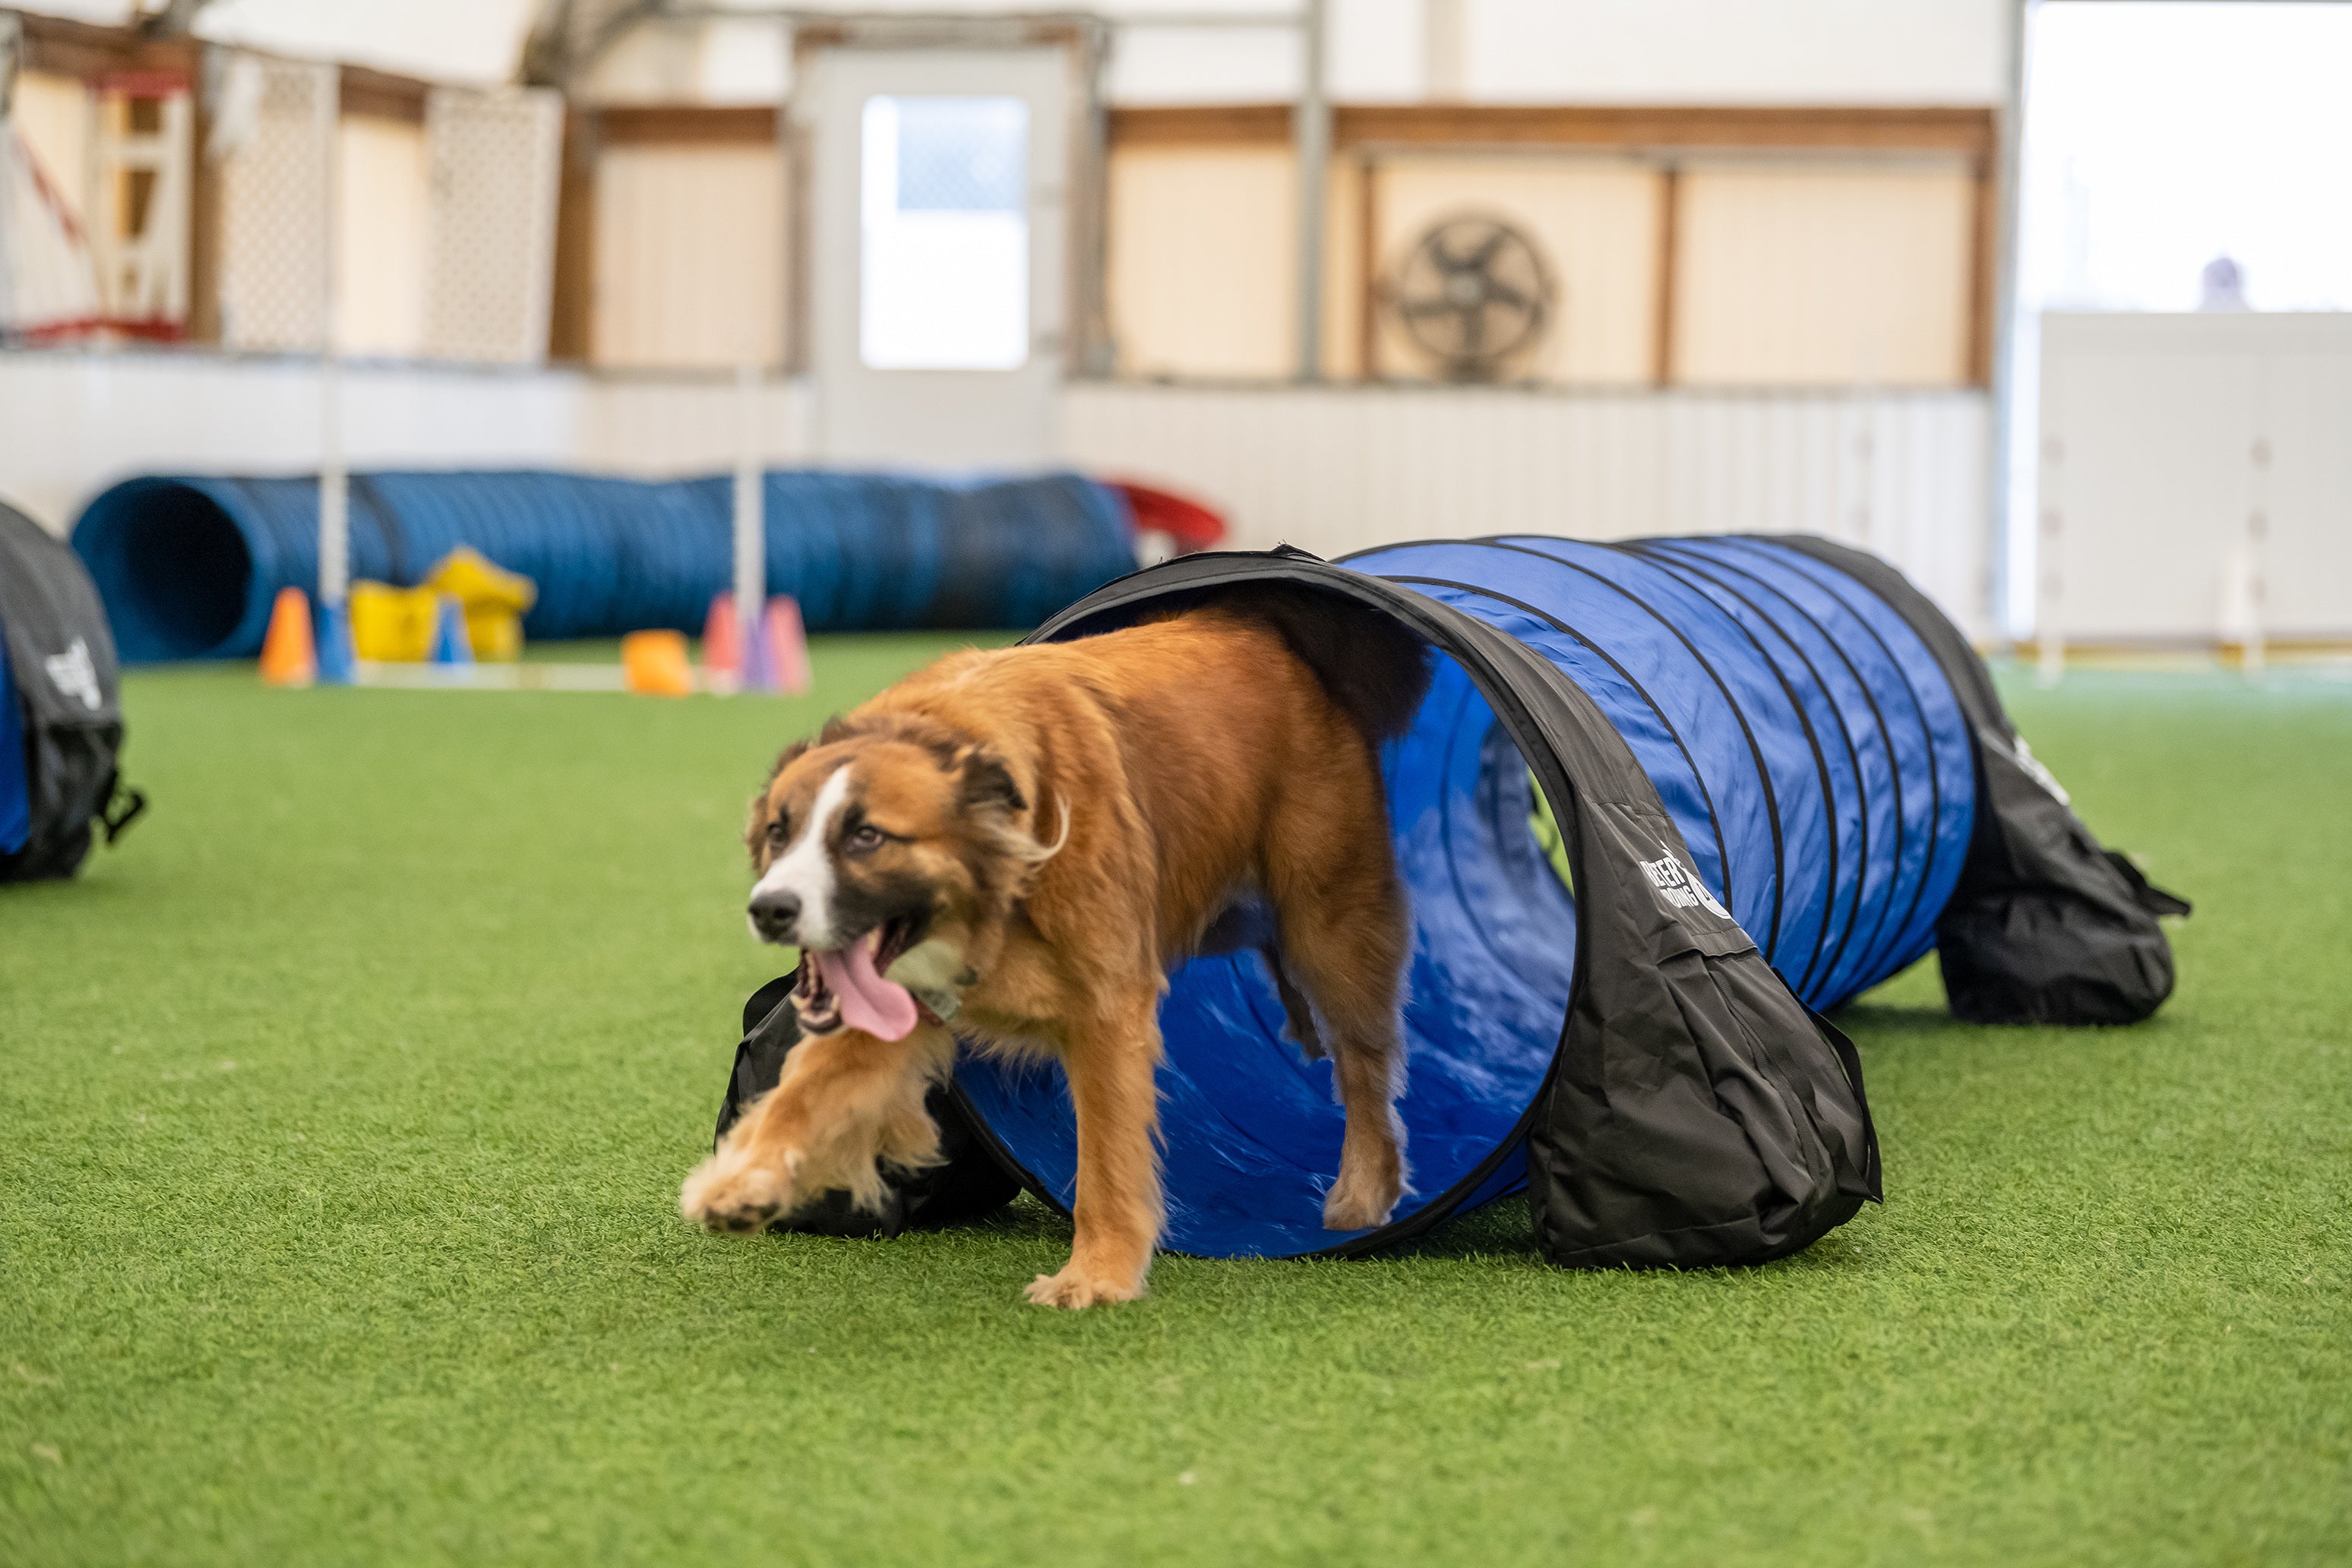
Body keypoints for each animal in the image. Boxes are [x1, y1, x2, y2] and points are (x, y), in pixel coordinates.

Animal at [672, 583, 1420, 1307]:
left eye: (866, 837)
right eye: (779, 833)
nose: (770, 910)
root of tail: (1272, 631)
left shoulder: (1108, 1011)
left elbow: (1107, 1163)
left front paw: (1097, 1276)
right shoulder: (889, 1008)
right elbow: (801, 1093)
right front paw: (741, 1182)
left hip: (1330, 927)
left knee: (1364, 1061)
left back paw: (1363, 1193)